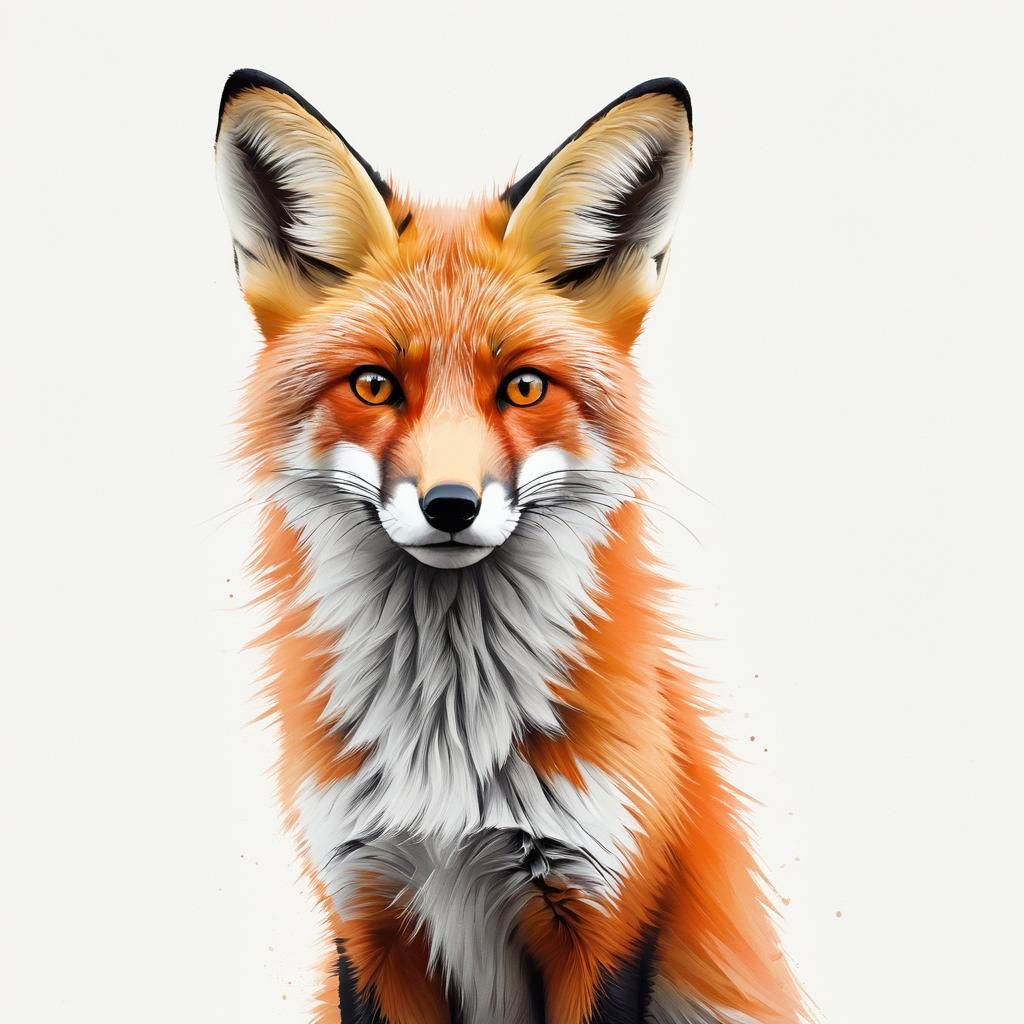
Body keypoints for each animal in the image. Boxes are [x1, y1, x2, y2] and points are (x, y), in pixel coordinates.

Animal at [215, 69, 807, 1024]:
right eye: (375, 385)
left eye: (524, 387)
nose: (451, 506)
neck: (449, 750)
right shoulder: (368, 916)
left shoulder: (606, 918)